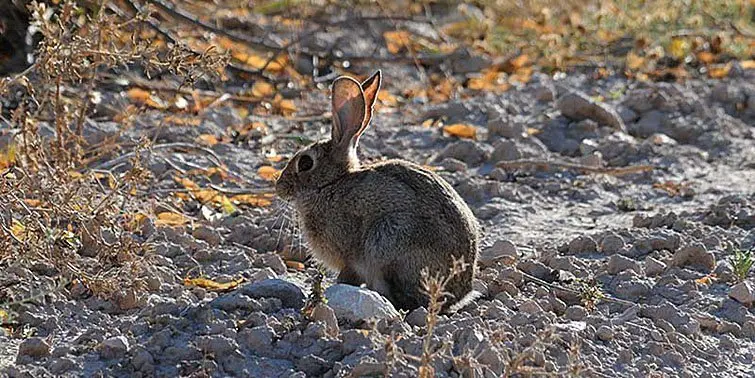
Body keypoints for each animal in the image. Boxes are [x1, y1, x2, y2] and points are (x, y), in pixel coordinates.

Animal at [274, 70, 482, 310]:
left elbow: (347, 275)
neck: (331, 184)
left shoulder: (350, 256)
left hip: (389, 238)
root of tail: (459, 293)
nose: (279, 187)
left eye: (306, 163)